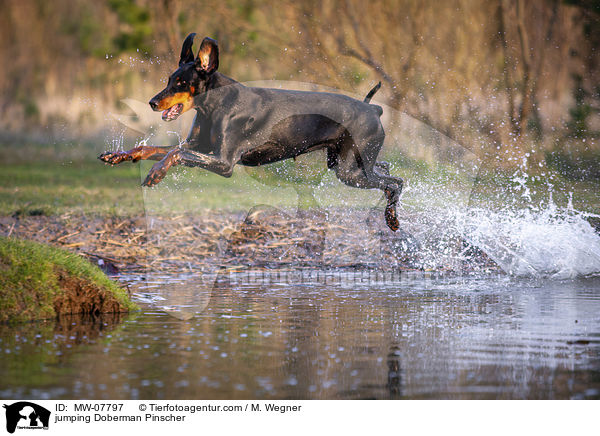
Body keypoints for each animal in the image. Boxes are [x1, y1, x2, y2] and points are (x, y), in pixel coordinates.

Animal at [101, 33, 404, 230]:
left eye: (181, 82)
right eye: (168, 80)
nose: (152, 102)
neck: (215, 106)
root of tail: (374, 109)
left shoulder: (223, 162)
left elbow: (174, 155)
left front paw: (156, 173)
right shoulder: (199, 148)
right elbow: (156, 149)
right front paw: (118, 155)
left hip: (349, 170)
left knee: (396, 182)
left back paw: (391, 219)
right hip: (347, 162)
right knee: (387, 170)